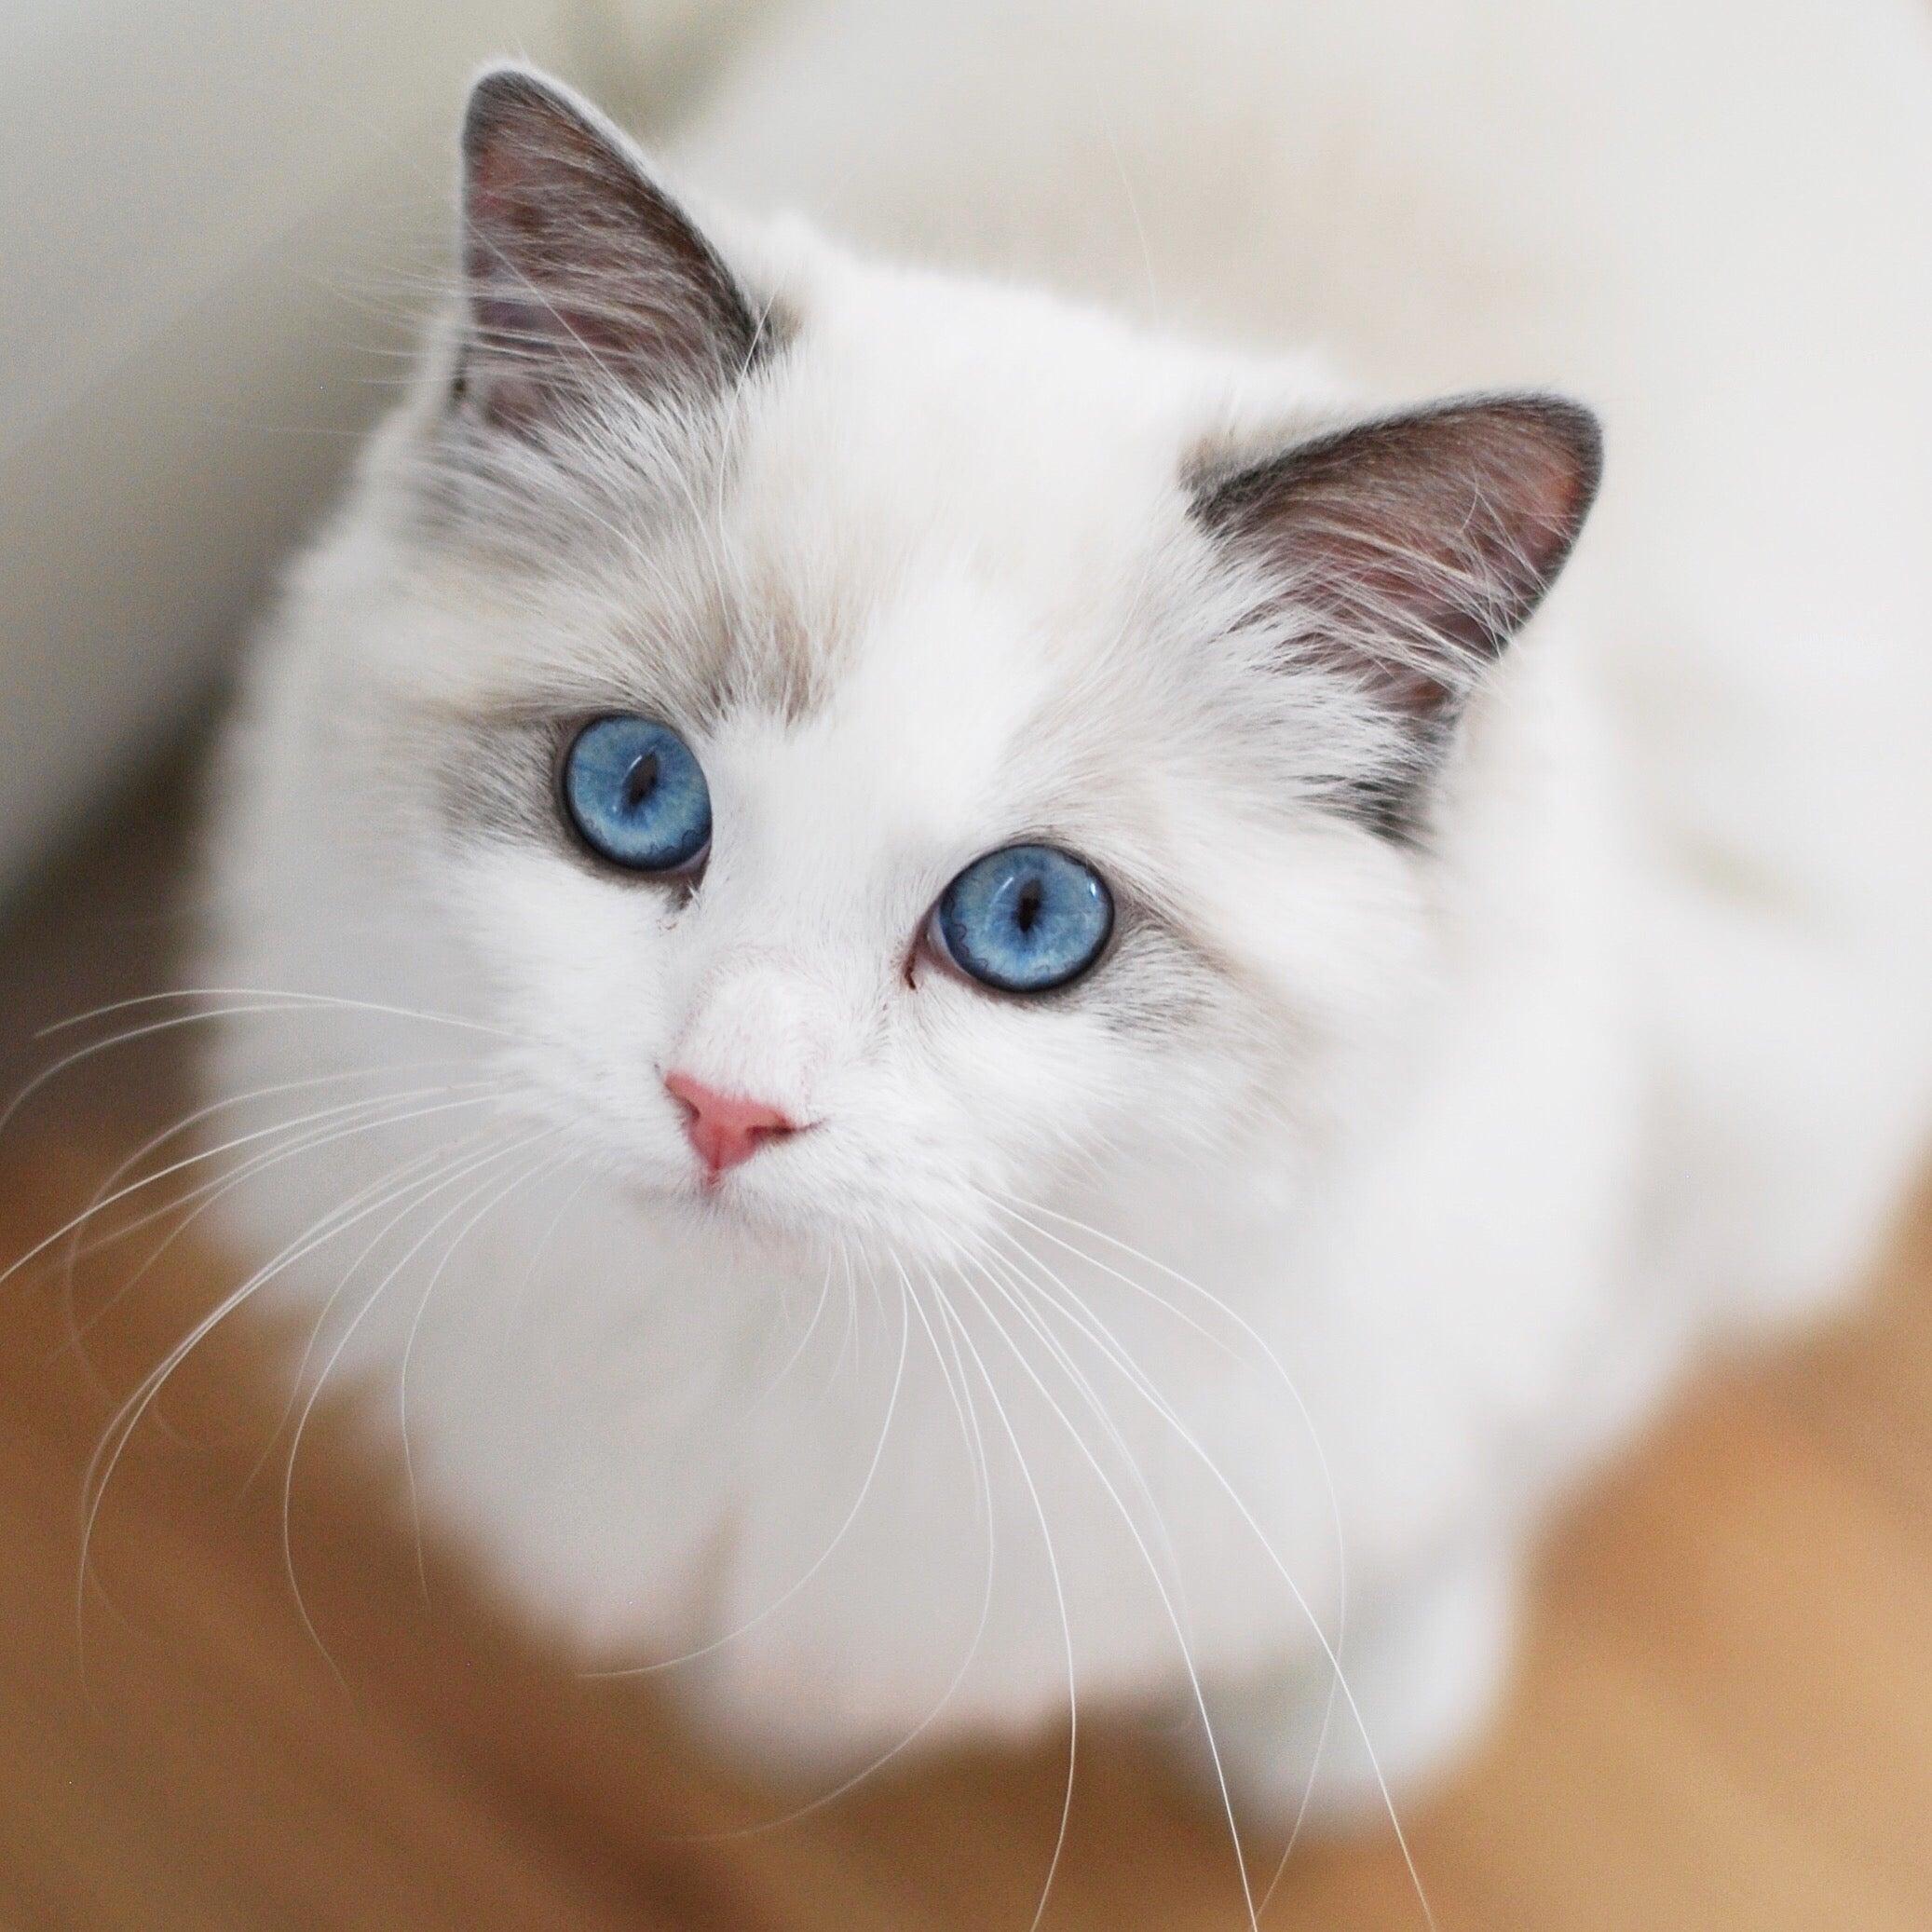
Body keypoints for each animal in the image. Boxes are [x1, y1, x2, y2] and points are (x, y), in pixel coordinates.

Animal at [196, 0, 1932, 1839]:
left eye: (1028, 916)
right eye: (635, 789)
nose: (724, 1105)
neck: (784, 1359)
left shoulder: (1706, 1140)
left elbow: (1465, 1481)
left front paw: (1327, 1725)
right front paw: (780, 1723)